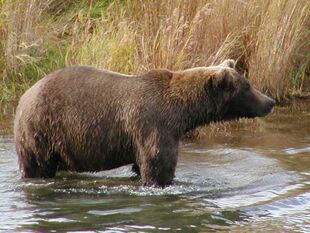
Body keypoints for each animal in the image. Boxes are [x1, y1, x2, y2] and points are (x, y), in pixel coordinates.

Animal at [15, 59, 276, 187]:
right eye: (247, 86)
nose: (270, 102)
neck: (182, 113)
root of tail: (23, 97)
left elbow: (140, 165)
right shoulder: (153, 125)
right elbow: (157, 164)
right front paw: (163, 183)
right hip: (41, 130)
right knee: (38, 165)